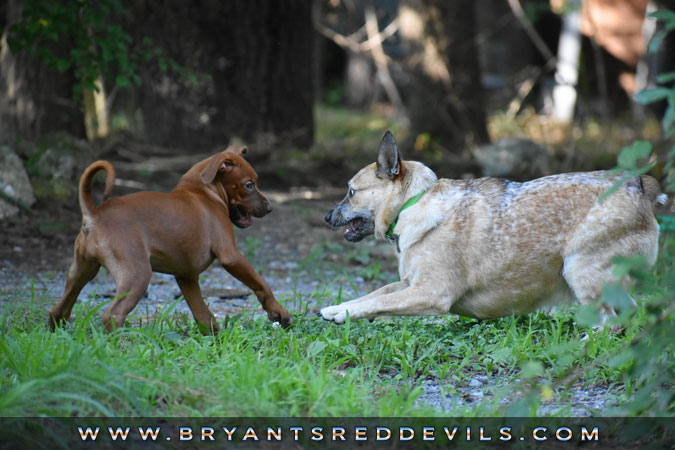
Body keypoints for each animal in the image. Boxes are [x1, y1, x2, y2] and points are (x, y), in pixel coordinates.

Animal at [47, 146, 290, 332]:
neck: (204, 191)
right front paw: (279, 313)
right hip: (137, 274)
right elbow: (262, 284)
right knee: (112, 315)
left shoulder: (186, 276)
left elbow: (202, 312)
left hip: (81, 271)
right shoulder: (230, 256)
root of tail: (95, 214)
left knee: (59, 310)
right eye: (249, 185)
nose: (269, 208)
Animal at [322, 132, 664, 326]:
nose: (326, 217)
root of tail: (638, 185)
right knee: (627, 314)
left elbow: (380, 302)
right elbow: (375, 294)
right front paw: (339, 308)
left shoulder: (431, 293)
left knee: (610, 322)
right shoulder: (409, 283)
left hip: (578, 268)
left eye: (350, 191)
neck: (413, 203)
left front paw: (342, 314)